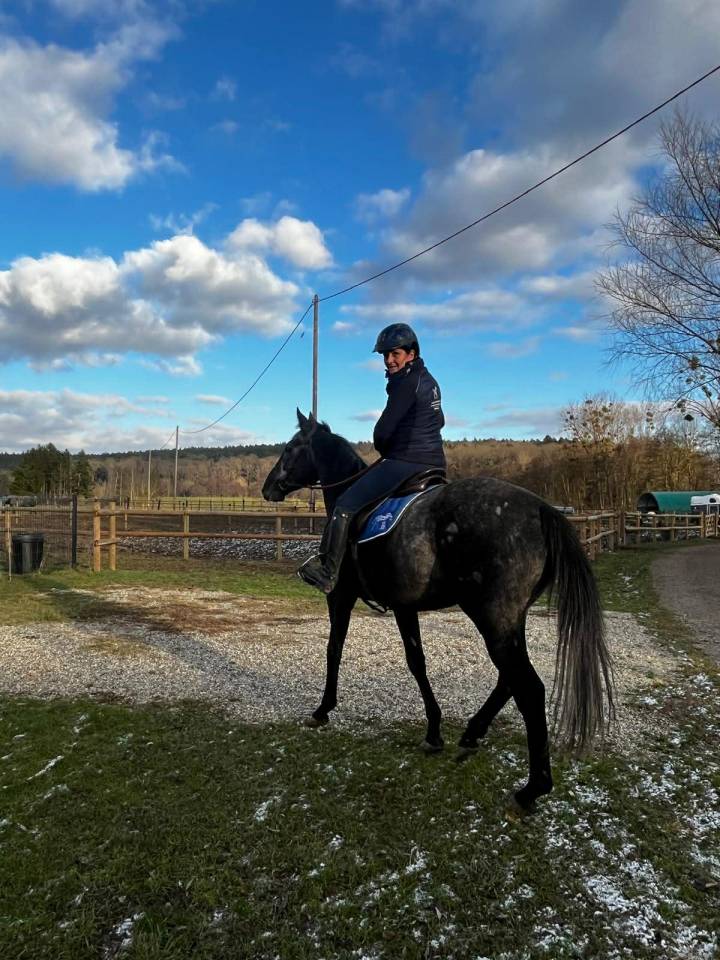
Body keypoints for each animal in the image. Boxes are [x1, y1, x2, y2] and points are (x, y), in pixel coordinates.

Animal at [262, 410, 615, 811]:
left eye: (291, 447)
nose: (268, 487)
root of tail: (542, 509)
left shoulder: (341, 596)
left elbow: (337, 650)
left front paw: (323, 709)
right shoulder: (405, 606)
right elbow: (418, 662)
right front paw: (434, 731)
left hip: (491, 617)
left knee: (528, 687)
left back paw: (532, 787)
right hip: (509, 618)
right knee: (508, 679)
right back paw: (474, 732)